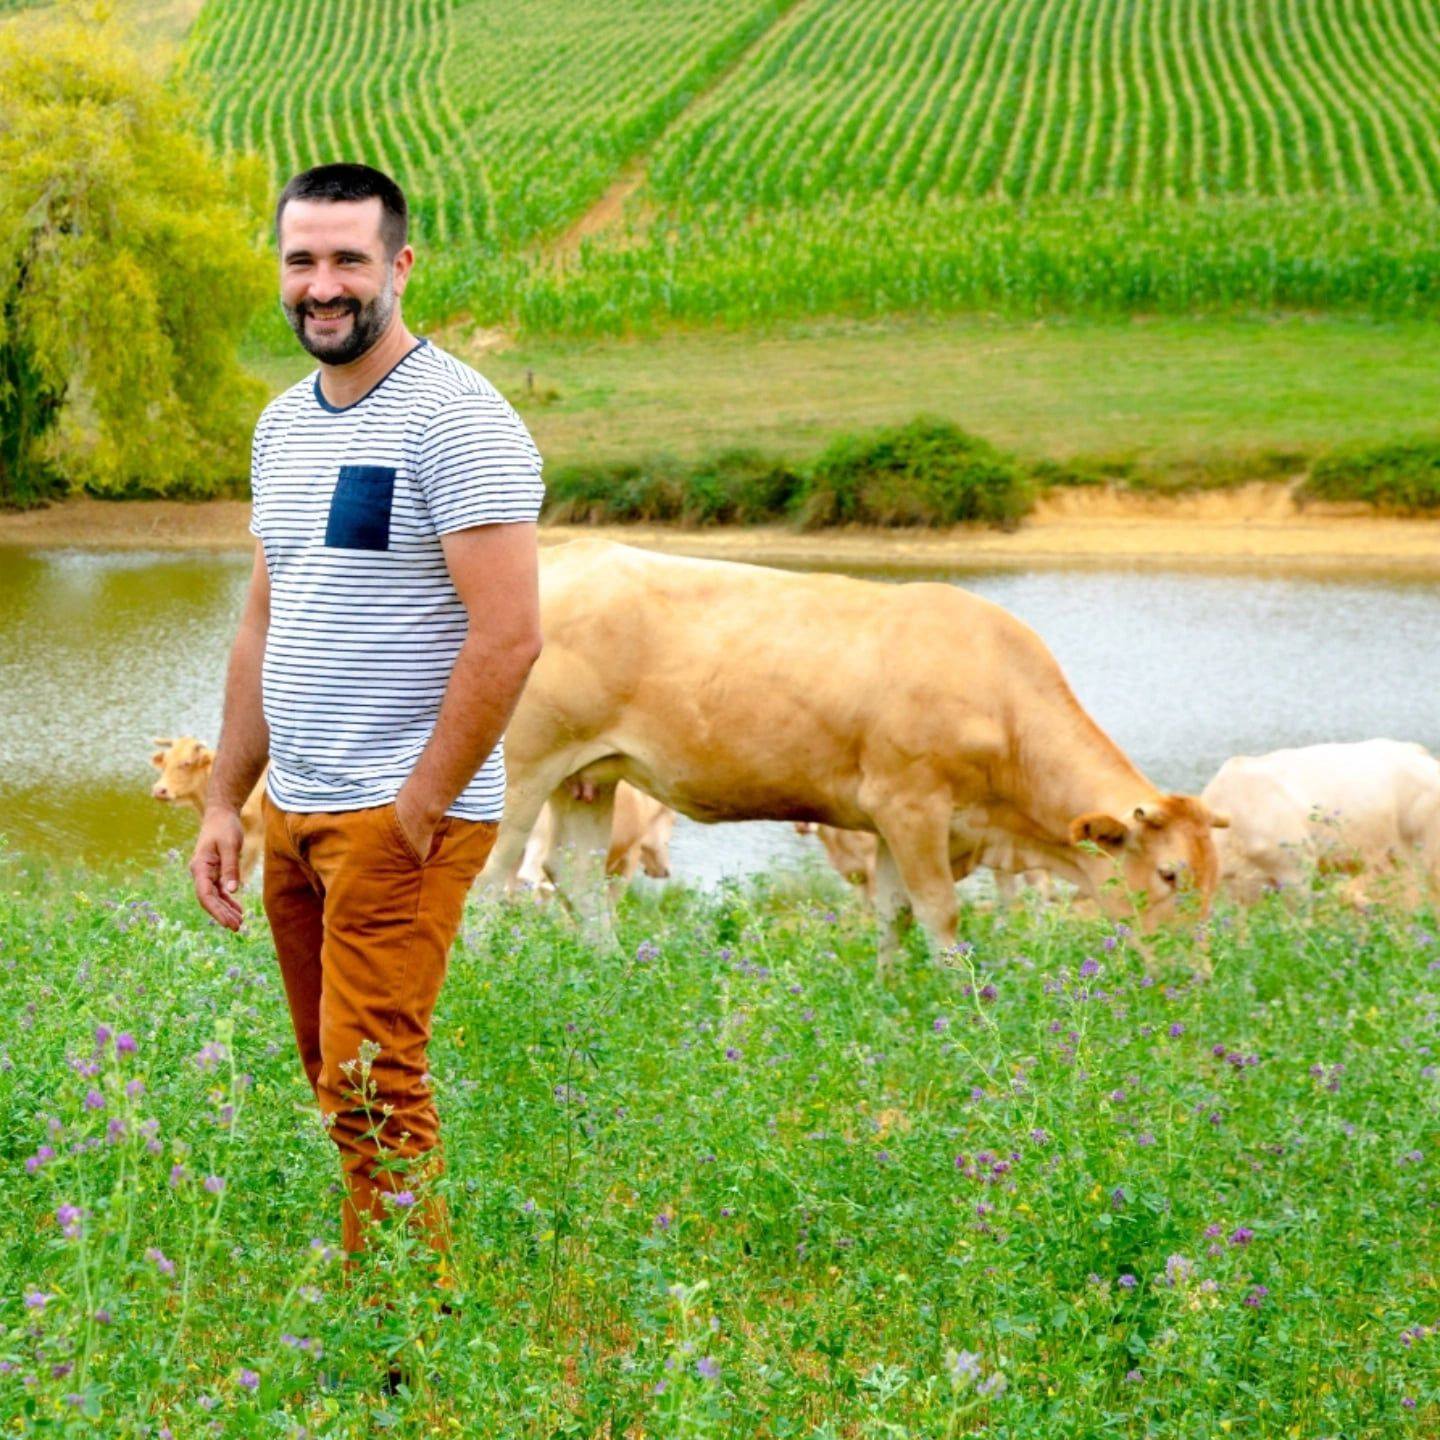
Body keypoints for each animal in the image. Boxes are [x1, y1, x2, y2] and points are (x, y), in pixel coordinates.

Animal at [479, 541, 1227, 964]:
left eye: (1213, 879)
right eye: (1169, 875)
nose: (1194, 976)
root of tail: (567, 554)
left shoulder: (895, 823)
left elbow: (895, 913)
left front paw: (891, 998)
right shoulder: (914, 805)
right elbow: (941, 913)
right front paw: (967, 1010)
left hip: (588, 775)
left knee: (577, 876)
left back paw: (615, 974)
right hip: (520, 768)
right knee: (492, 878)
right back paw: (488, 978)